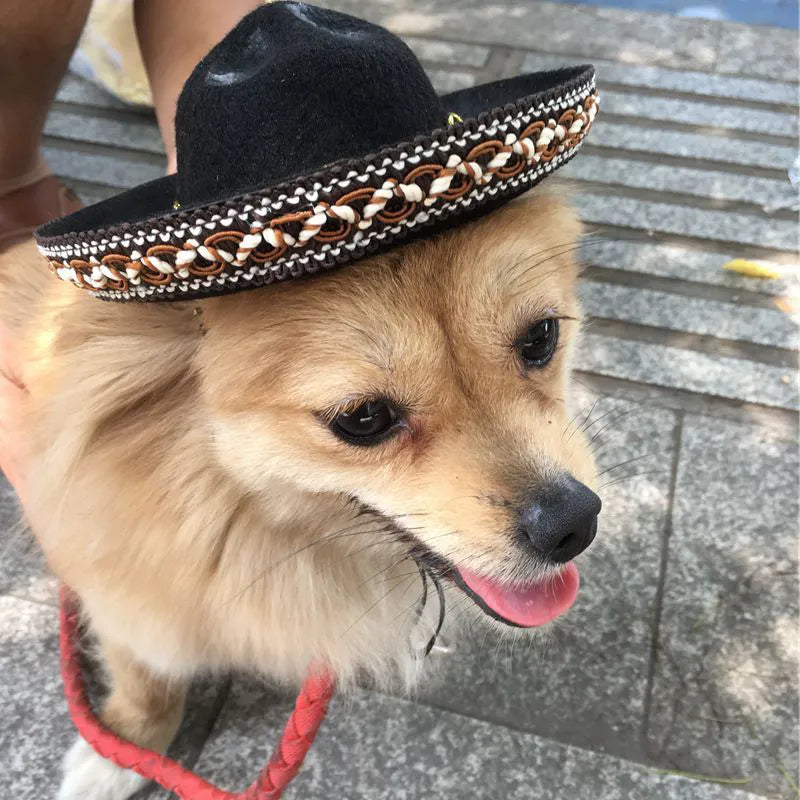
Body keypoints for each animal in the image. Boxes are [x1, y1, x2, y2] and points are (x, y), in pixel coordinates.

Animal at [0, 189, 600, 800]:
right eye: (363, 418)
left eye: (541, 338)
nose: (573, 523)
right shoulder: (120, 587)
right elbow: (146, 671)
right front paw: (122, 747)